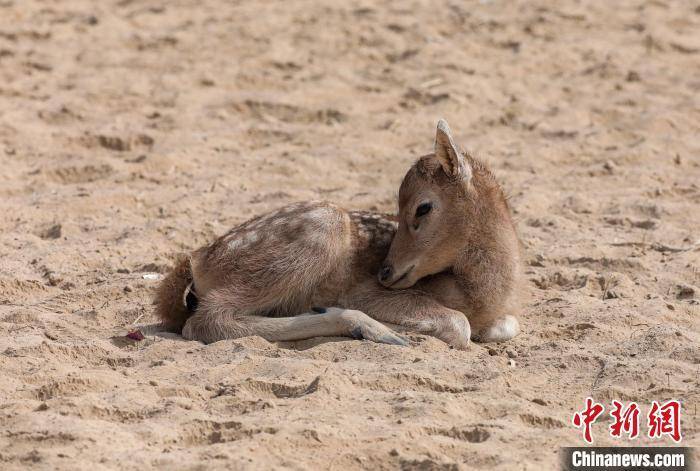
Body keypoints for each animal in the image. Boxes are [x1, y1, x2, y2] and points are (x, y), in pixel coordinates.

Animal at [155, 120, 521, 350]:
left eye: (422, 208)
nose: (385, 272)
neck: (479, 294)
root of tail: (197, 261)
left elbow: (507, 325)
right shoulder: (368, 293)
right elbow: (459, 325)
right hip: (318, 230)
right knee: (206, 320)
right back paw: (369, 328)